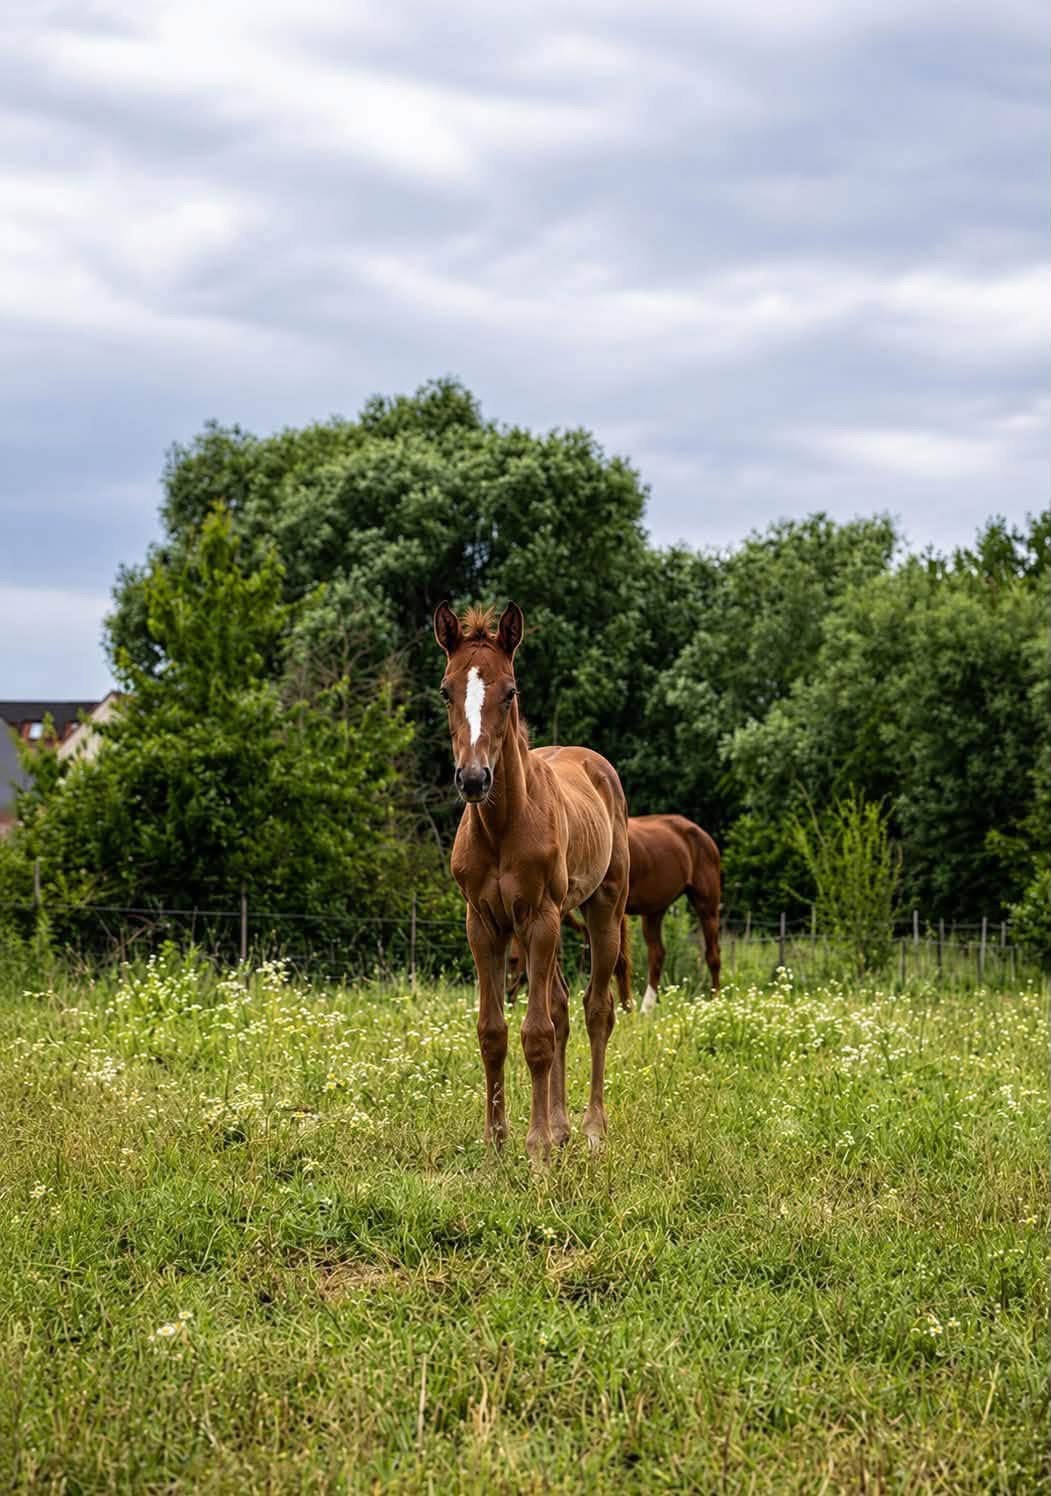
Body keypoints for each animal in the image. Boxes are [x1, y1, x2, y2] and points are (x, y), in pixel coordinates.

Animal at [434, 600, 631, 1159]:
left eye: (510, 690)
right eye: (446, 689)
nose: (473, 779)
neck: (503, 827)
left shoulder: (539, 917)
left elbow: (537, 1033)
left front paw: (537, 1146)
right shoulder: (483, 924)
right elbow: (494, 1031)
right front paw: (497, 1141)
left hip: (602, 911)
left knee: (596, 1009)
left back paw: (589, 1128)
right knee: (562, 1006)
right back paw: (563, 1126)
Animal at [506, 814, 721, 1013]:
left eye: (513, 961)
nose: (509, 999)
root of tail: (704, 836)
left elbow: (619, 960)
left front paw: (626, 1009)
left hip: (706, 905)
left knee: (713, 955)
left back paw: (714, 1002)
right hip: (654, 911)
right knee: (657, 954)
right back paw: (646, 1009)